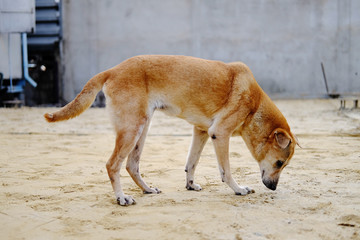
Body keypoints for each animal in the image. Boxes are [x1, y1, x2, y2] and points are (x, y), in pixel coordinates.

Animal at [45, 55, 298, 205]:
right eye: (279, 163)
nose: (273, 188)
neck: (254, 104)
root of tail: (113, 70)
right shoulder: (220, 134)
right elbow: (226, 171)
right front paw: (238, 189)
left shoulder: (201, 132)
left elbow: (191, 163)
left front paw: (190, 185)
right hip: (132, 129)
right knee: (113, 164)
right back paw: (121, 197)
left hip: (142, 129)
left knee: (131, 165)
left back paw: (147, 189)